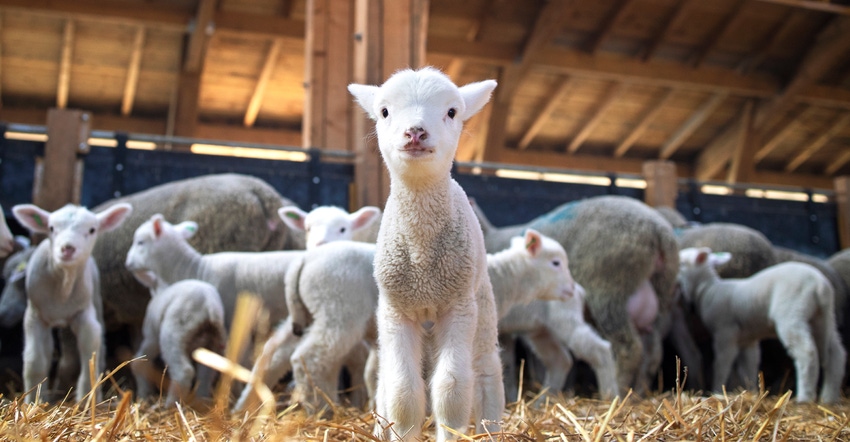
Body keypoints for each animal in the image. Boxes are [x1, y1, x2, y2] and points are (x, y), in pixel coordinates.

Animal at [12, 202, 132, 402]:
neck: (63, 286)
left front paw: (87, 397)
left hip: (96, 299)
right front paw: (34, 400)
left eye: (92, 230)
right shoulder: (34, 316)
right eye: (51, 228)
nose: (67, 248)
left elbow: (90, 349)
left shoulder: (84, 314)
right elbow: (35, 360)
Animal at [125, 268, 225, 406]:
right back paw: (201, 402)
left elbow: (140, 361)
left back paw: (170, 405)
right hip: (213, 342)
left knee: (184, 372)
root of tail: (209, 305)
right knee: (206, 374)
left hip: (173, 333)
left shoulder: (151, 334)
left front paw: (143, 393)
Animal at [348, 67, 500, 440]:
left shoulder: (458, 307)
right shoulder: (396, 311)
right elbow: (403, 392)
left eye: (452, 112)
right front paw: (401, 432)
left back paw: (494, 429)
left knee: (486, 372)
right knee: (385, 382)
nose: (415, 132)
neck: (422, 261)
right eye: (384, 112)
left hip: (481, 305)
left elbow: (452, 389)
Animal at [672, 247, 844, 402]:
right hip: (823, 318)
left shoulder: (725, 332)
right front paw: (752, 390)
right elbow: (749, 365)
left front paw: (716, 389)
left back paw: (804, 397)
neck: (708, 289)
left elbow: (721, 363)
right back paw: (829, 397)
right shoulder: (747, 339)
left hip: (791, 314)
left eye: (682, 263)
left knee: (807, 352)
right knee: (835, 353)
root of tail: (820, 285)